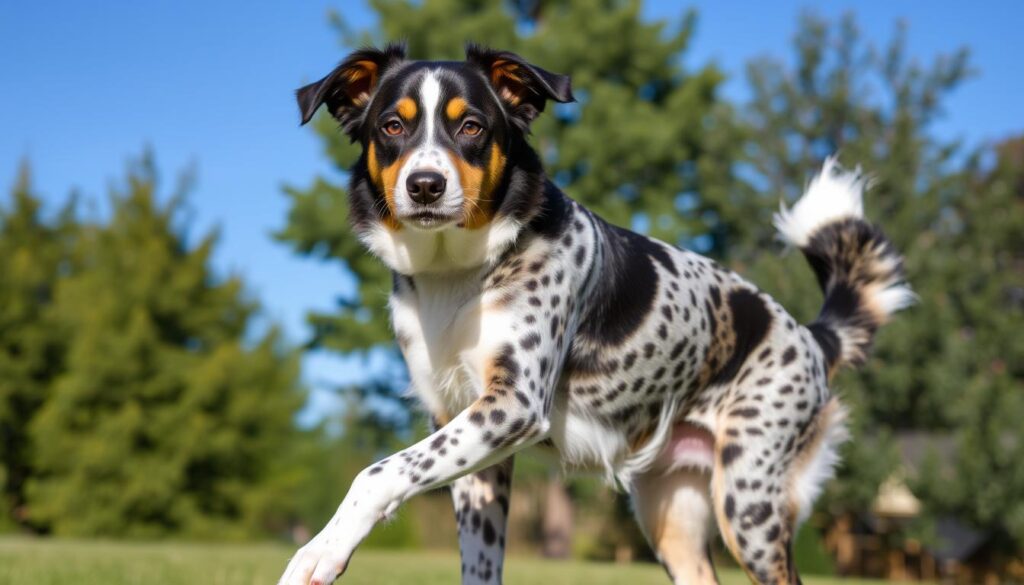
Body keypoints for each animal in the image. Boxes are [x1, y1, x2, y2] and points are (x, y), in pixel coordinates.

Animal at [278, 44, 913, 585]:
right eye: (392, 126)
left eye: (471, 126)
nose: (426, 185)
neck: (460, 274)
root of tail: (814, 337)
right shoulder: (467, 435)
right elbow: (476, 558)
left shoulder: (514, 405)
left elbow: (376, 473)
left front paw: (321, 551)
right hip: (671, 516)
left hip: (750, 503)